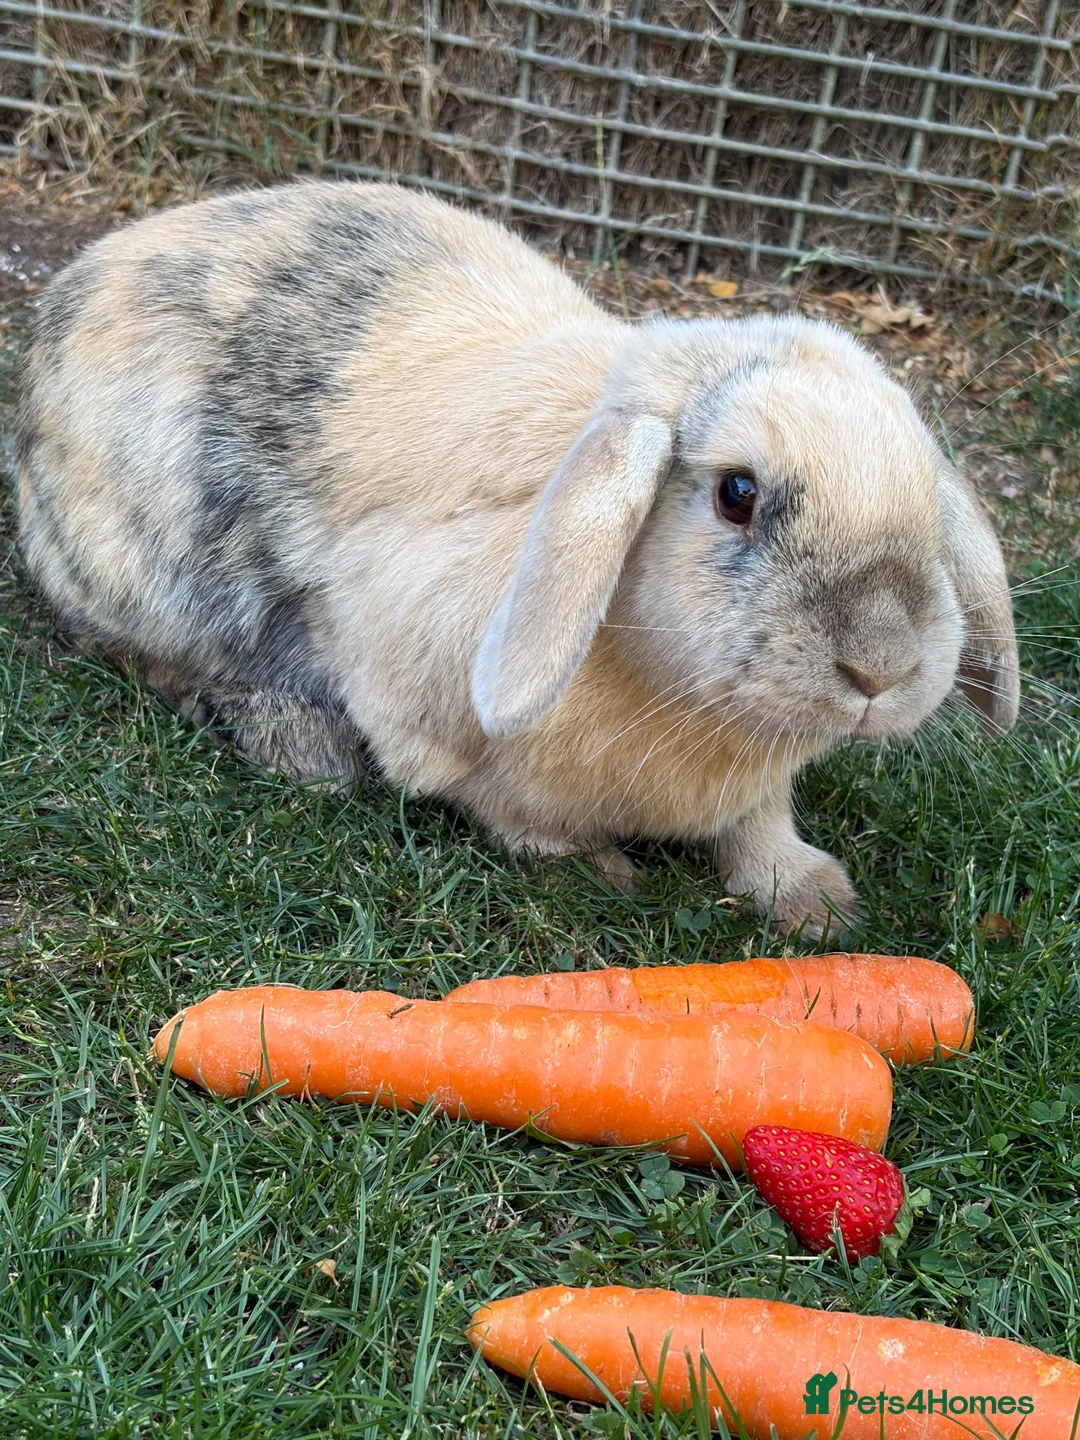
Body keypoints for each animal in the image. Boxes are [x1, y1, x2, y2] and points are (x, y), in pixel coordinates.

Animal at [15, 180, 1018, 932]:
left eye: (924, 493)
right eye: (737, 493)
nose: (881, 668)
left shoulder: (753, 792)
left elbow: (760, 832)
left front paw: (818, 903)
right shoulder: (421, 707)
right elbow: (513, 815)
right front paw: (604, 871)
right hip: (140, 580)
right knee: (148, 657)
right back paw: (299, 744)